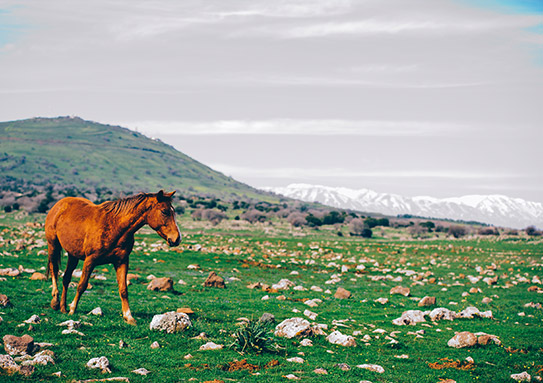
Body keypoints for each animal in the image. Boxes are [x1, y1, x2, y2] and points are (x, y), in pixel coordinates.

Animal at [45, 190, 181, 326]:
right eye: (164, 211)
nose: (177, 239)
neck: (115, 226)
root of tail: (58, 205)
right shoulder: (90, 260)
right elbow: (82, 285)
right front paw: (73, 309)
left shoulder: (121, 261)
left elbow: (123, 289)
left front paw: (129, 317)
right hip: (53, 245)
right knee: (54, 270)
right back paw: (55, 302)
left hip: (73, 255)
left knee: (66, 278)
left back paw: (63, 307)